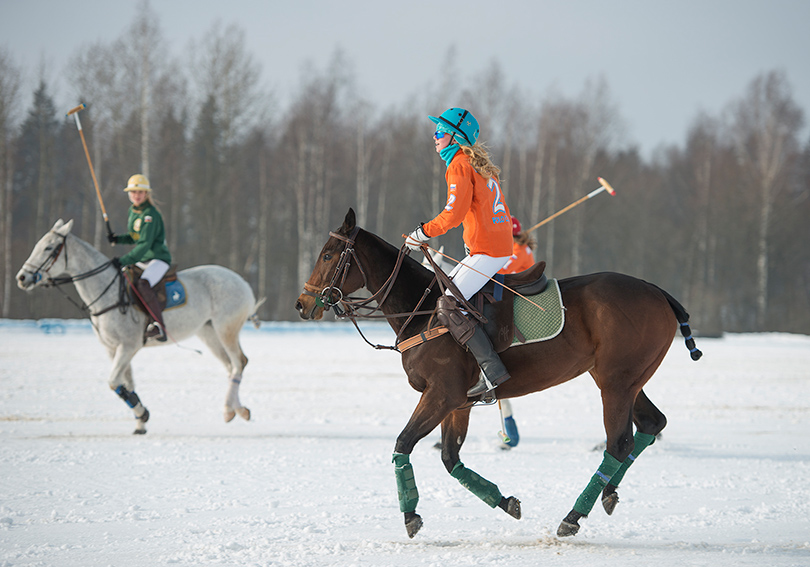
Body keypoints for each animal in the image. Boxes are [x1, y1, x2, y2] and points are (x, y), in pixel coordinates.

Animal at [16, 221, 262, 434]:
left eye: (49, 247)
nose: (22, 277)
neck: (106, 292)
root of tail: (244, 283)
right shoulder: (113, 348)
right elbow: (126, 383)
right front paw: (140, 424)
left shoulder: (128, 345)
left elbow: (113, 381)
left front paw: (143, 414)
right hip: (208, 332)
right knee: (231, 366)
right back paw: (236, 410)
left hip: (226, 328)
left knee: (239, 362)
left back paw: (232, 410)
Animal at [294, 210, 696, 540]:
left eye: (328, 254)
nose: (302, 304)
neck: (421, 311)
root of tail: (658, 291)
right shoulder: (459, 404)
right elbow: (450, 458)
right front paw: (506, 502)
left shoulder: (441, 394)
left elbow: (403, 443)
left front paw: (410, 516)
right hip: (624, 378)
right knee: (651, 423)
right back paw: (608, 493)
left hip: (616, 380)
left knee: (619, 442)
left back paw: (573, 516)